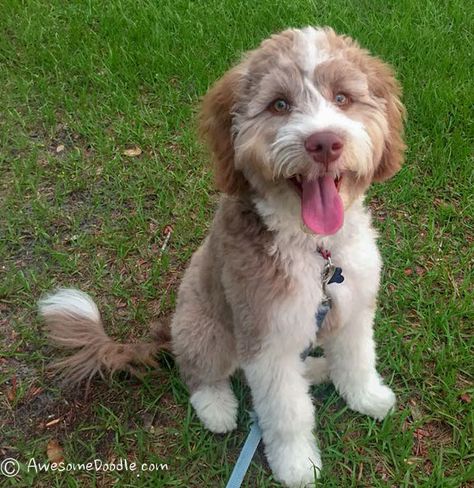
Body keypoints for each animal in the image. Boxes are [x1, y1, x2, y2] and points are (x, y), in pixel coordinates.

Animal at [39, 26, 406, 488]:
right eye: (279, 104)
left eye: (342, 97)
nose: (324, 142)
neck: (315, 250)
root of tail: (167, 331)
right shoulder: (265, 338)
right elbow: (285, 412)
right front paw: (296, 464)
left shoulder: (354, 309)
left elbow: (357, 360)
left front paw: (367, 397)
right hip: (206, 329)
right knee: (200, 374)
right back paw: (217, 409)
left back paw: (316, 371)